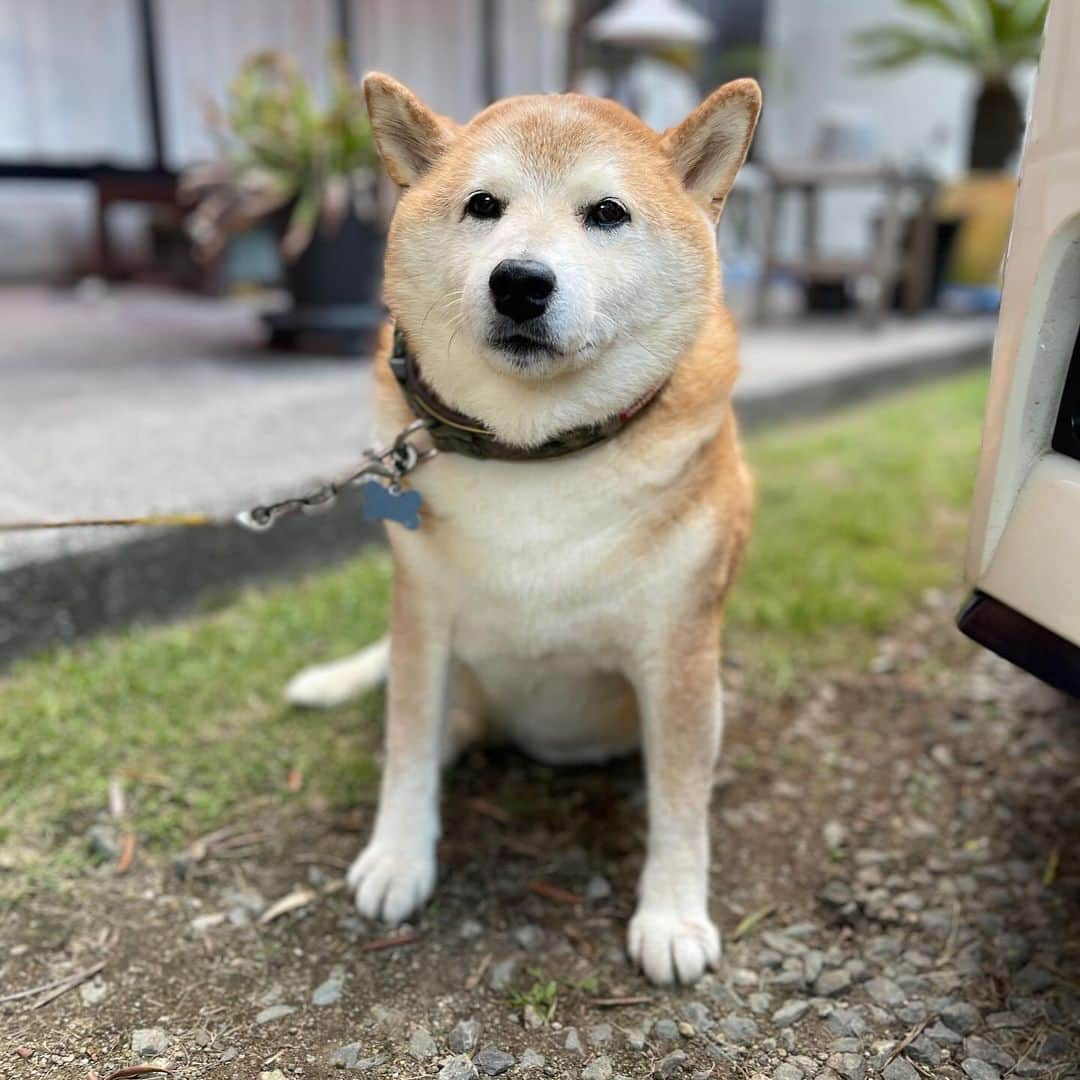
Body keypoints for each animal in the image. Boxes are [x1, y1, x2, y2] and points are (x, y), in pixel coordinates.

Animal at [287, 73, 760, 989]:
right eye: (484, 205)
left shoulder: (680, 653)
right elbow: (406, 748)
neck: (534, 455)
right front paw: (399, 857)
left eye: (607, 213)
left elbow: (681, 804)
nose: (519, 282)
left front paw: (673, 914)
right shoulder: (424, 620)